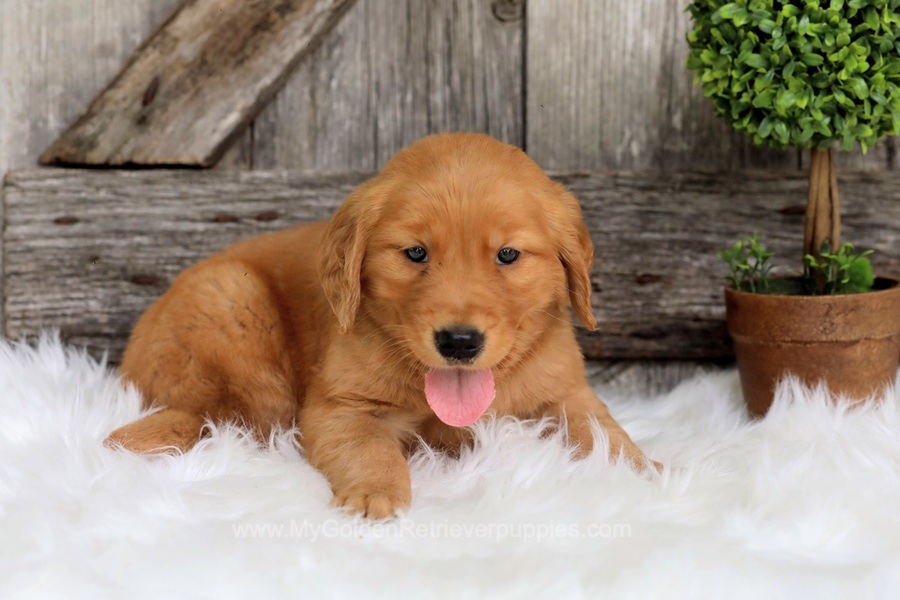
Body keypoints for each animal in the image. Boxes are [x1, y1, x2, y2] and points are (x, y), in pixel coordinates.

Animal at [107, 134, 652, 516]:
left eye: (508, 255)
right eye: (415, 253)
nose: (458, 342)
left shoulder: (565, 391)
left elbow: (605, 432)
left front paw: (649, 474)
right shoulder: (338, 407)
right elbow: (370, 449)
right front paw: (375, 496)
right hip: (233, 301)